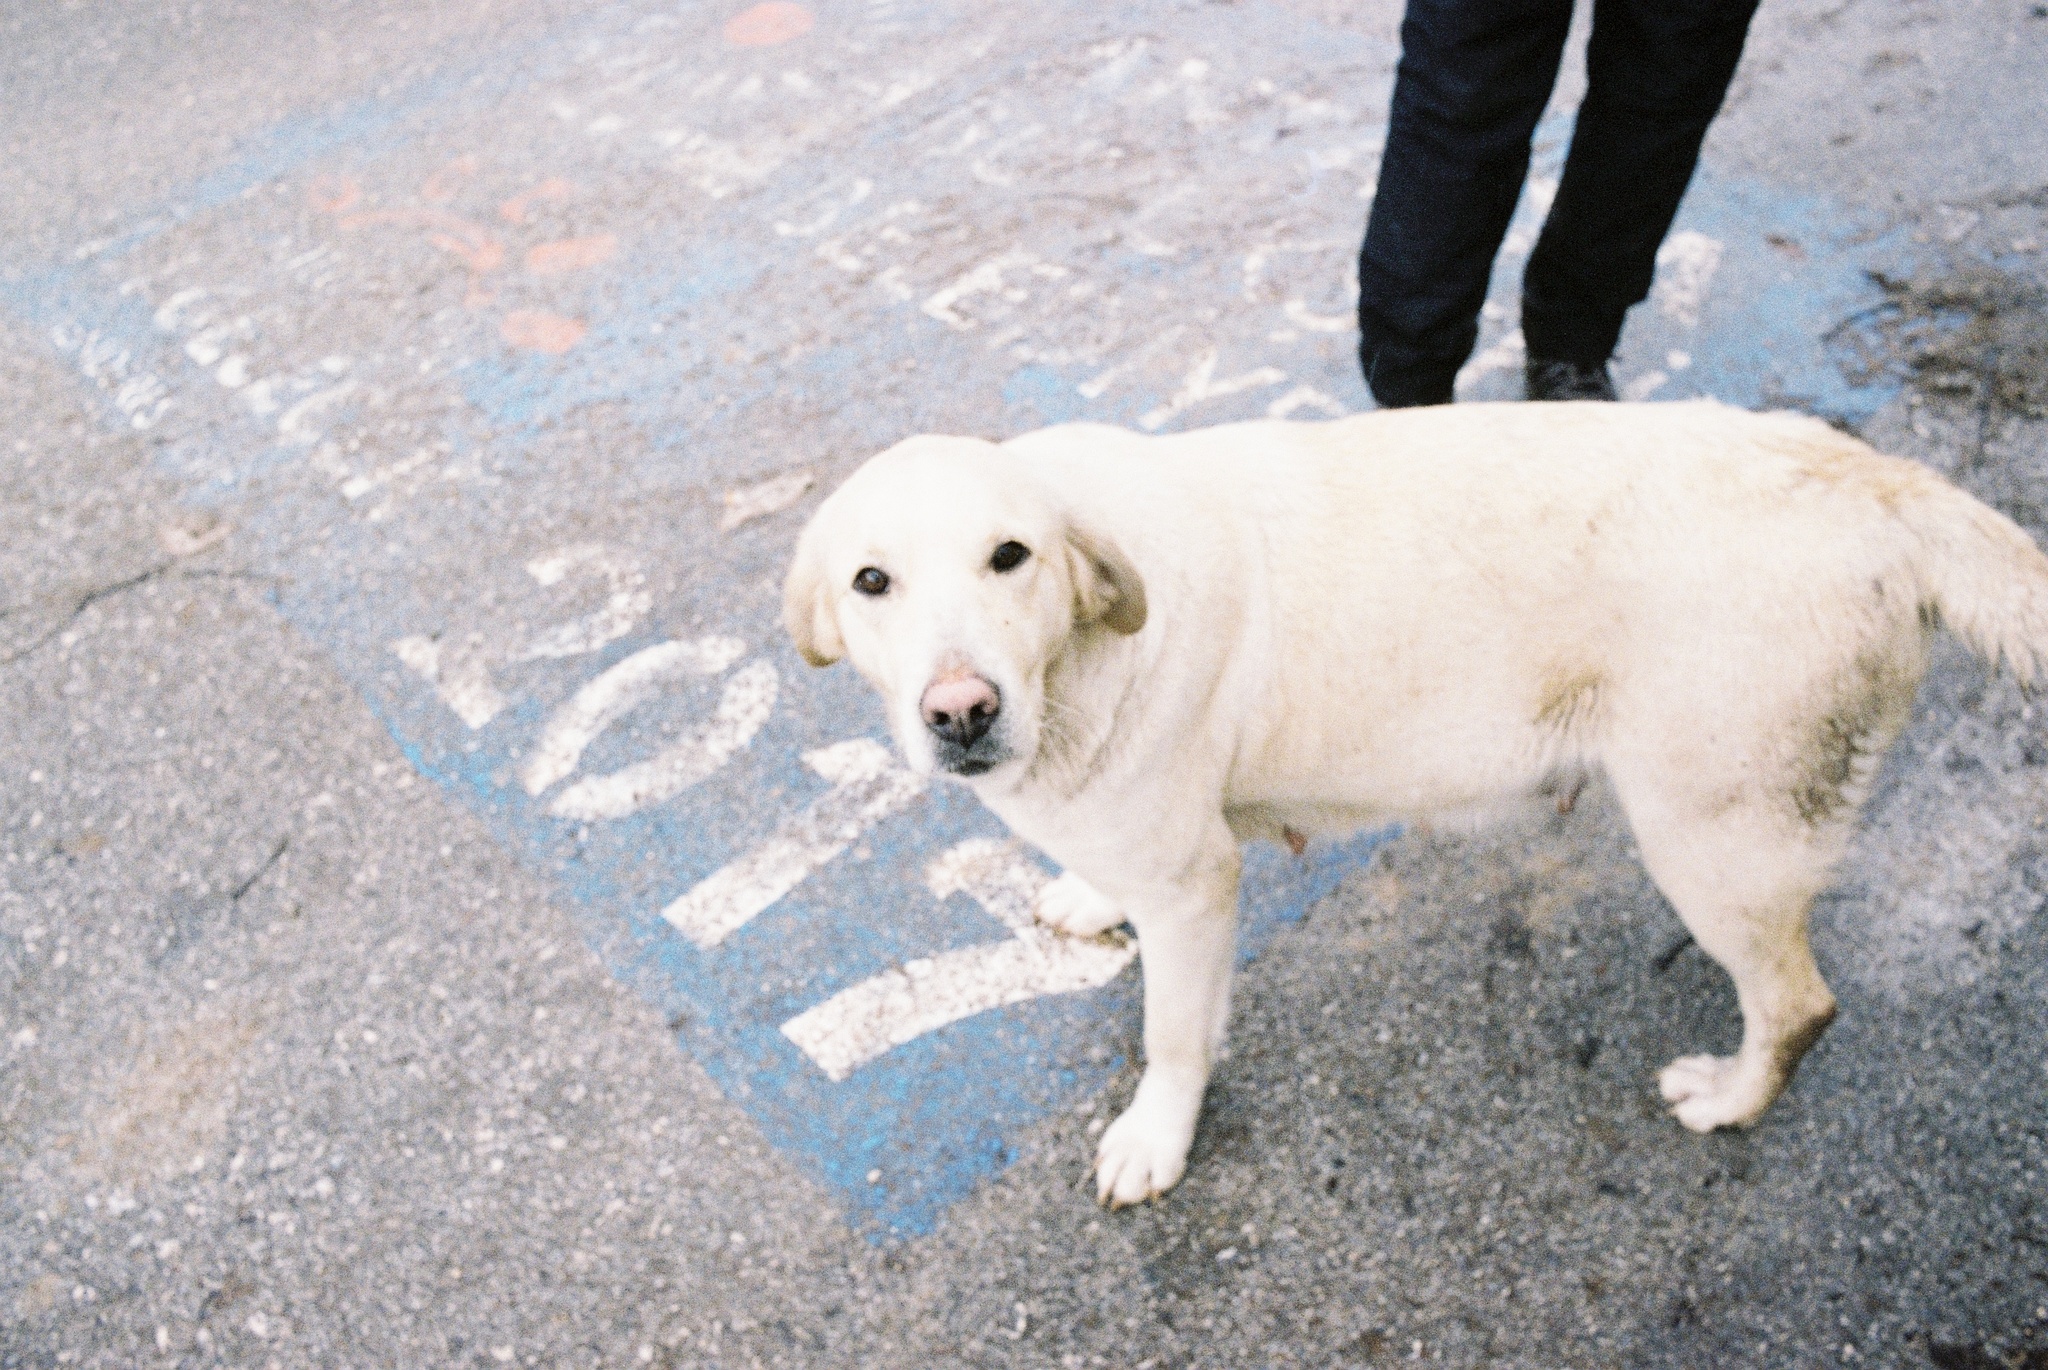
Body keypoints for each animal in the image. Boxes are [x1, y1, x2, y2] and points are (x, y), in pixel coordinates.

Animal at [778, 397, 2048, 1204]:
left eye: (1010, 556)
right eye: (871, 580)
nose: (960, 711)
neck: (1075, 659)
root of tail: (1877, 482)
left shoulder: (1194, 892)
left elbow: (1172, 1034)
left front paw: (1155, 1134)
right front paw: (1089, 896)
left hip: (1711, 843)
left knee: (1797, 1003)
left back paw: (1732, 1097)